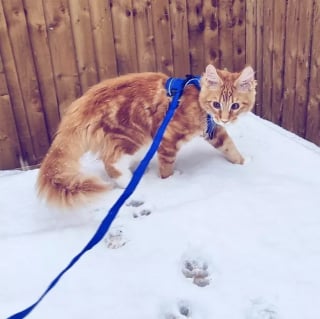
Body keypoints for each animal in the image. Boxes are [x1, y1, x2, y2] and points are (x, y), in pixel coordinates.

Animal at [37, 64, 256, 208]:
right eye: (216, 104)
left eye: (235, 106)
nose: (225, 119)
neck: (197, 95)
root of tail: (86, 102)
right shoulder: (168, 138)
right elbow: (167, 167)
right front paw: (170, 182)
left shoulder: (214, 131)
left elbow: (229, 147)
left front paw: (243, 163)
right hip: (133, 138)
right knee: (111, 163)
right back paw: (132, 184)